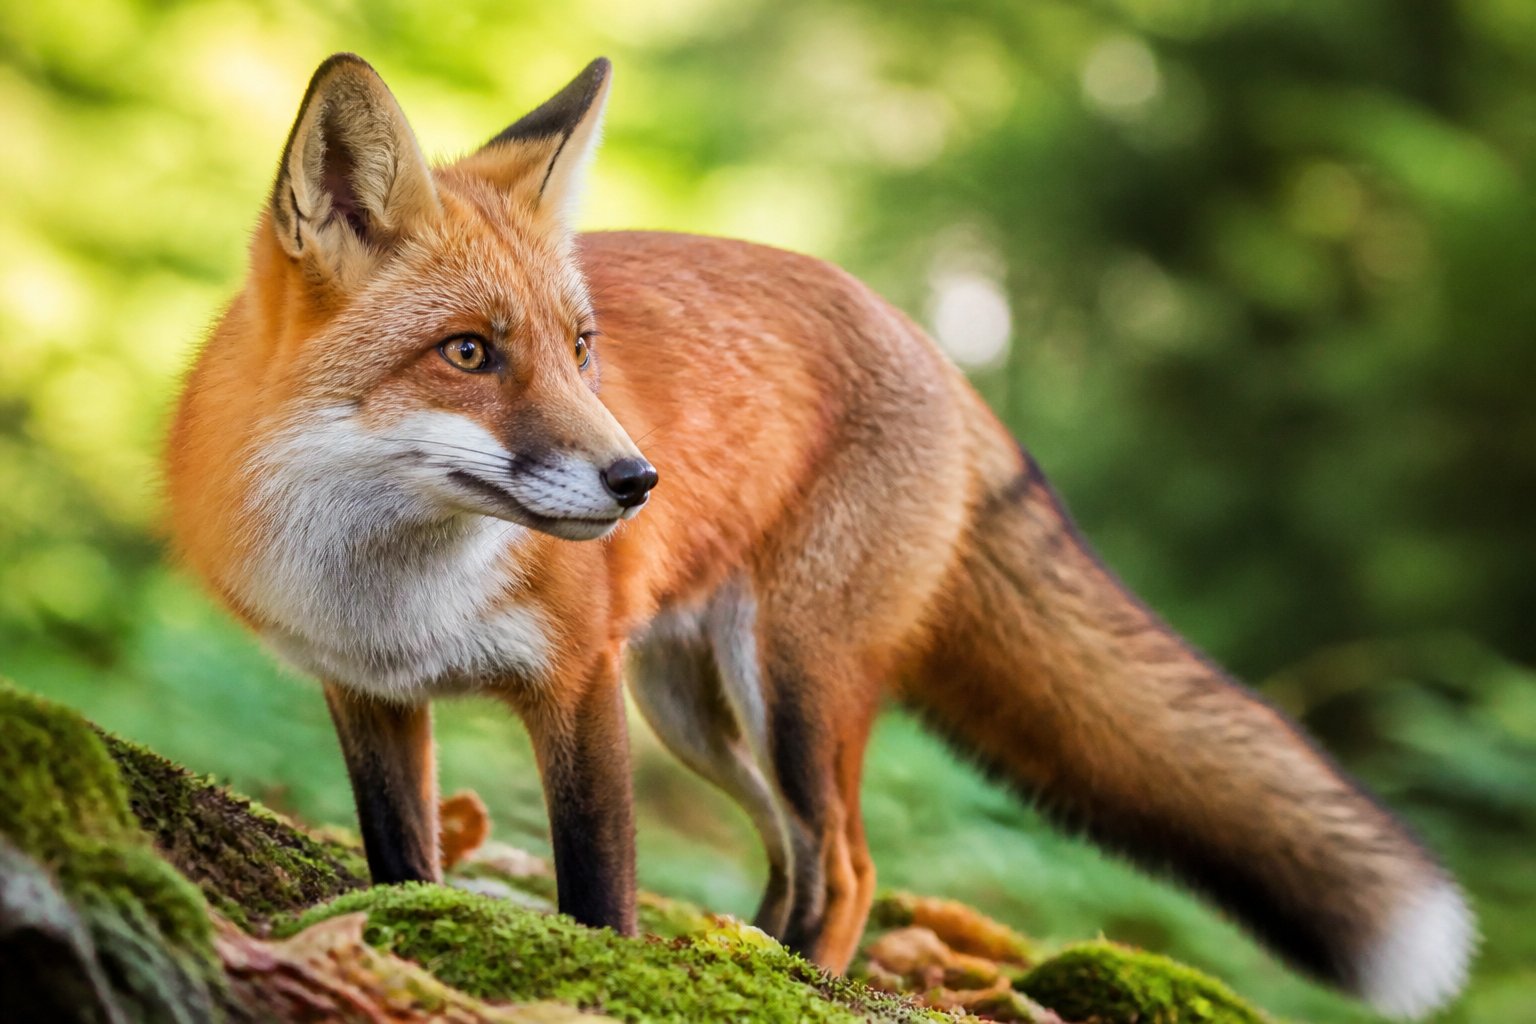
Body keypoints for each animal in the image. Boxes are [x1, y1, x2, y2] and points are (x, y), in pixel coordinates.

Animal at [166, 53, 1474, 1018]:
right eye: (471, 352)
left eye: (581, 348)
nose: (639, 480)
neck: (395, 582)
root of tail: (932, 345)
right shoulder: (368, 689)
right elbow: (399, 857)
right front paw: (396, 932)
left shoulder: (579, 684)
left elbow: (600, 883)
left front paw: (608, 975)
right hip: (695, 707)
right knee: (796, 854)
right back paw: (757, 958)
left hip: (790, 680)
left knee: (848, 865)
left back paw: (801, 977)